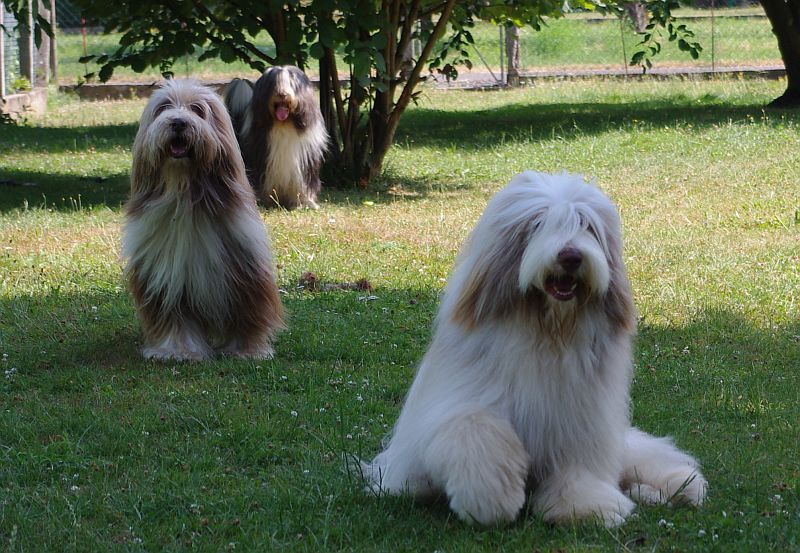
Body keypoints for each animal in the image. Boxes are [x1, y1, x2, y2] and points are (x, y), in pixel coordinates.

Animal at [123, 79, 285, 362]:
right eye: (164, 107)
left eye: (197, 109)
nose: (178, 122)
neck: (185, 195)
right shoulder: (167, 278)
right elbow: (175, 320)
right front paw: (178, 351)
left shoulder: (244, 268)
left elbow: (247, 313)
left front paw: (247, 350)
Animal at [224, 66, 328, 209]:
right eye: (274, 83)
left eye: (291, 82)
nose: (282, 94)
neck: (283, 124)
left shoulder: (304, 159)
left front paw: (304, 202)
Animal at [362, 171, 707, 526]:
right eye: (539, 223)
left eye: (586, 225)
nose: (571, 257)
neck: (547, 330)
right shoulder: (454, 405)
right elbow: (475, 428)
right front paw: (491, 499)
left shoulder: (580, 421)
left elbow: (578, 467)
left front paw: (585, 505)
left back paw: (678, 486)